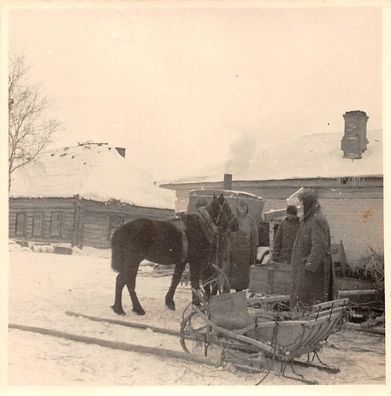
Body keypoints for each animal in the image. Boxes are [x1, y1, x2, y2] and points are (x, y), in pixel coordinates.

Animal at [110, 193, 239, 316]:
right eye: (227, 208)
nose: (236, 225)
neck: (202, 225)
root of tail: (120, 230)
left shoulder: (182, 262)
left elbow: (175, 280)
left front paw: (169, 301)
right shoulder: (195, 262)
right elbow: (194, 282)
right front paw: (197, 304)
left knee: (122, 281)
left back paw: (119, 308)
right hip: (133, 261)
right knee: (126, 281)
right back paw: (132, 308)